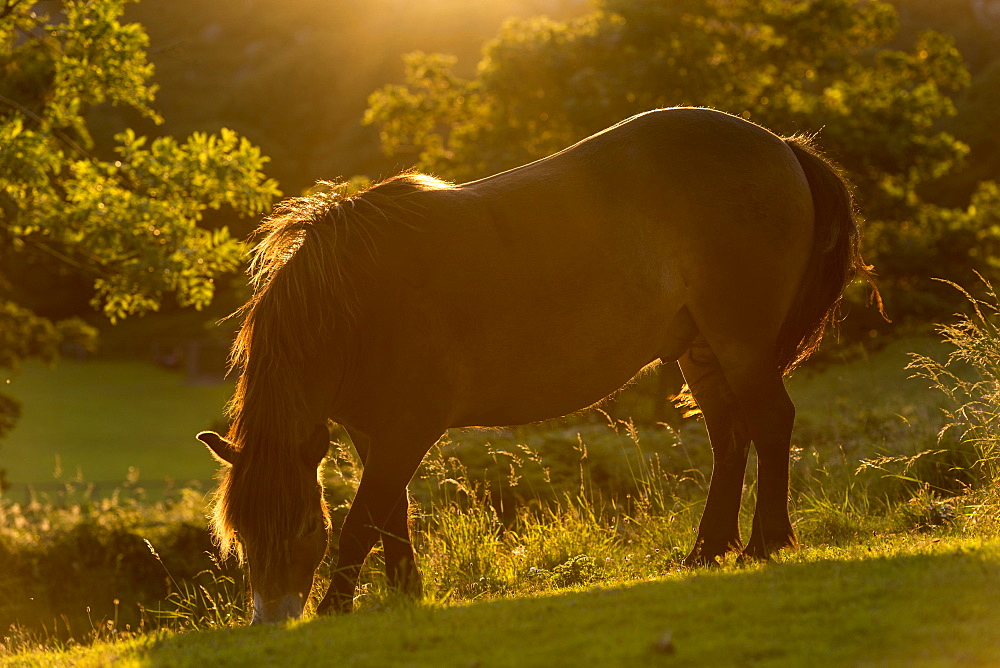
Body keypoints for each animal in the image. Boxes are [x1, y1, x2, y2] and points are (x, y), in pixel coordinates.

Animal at [193, 105, 876, 628]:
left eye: (305, 527)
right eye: (243, 535)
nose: (272, 620)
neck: (355, 299)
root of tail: (783, 147)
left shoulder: (406, 431)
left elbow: (363, 520)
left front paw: (338, 607)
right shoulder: (375, 433)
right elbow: (393, 517)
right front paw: (408, 594)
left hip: (742, 343)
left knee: (771, 423)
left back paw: (766, 541)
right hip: (702, 350)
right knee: (730, 436)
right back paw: (706, 550)